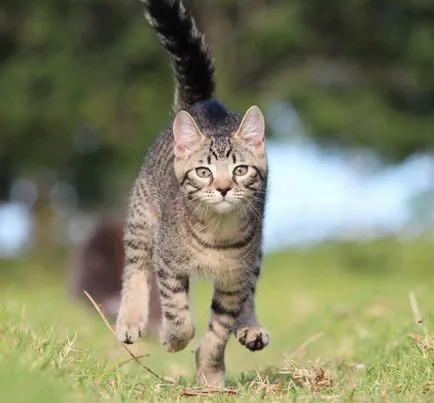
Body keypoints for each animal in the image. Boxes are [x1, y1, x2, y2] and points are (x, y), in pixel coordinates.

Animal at [117, 0, 270, 388]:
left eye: (240, 170)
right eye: (203, 172)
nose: (223, 188)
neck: (217, 231)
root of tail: (203, 104)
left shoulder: (234, 279)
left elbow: (218, 330)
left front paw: (210, 371)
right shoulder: (167, 262)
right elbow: (177, 312)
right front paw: (173, 339)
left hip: (255, 252)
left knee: (250, 290)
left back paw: (250, 327)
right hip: (142, 217)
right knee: (135, 265)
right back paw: (130, 319)